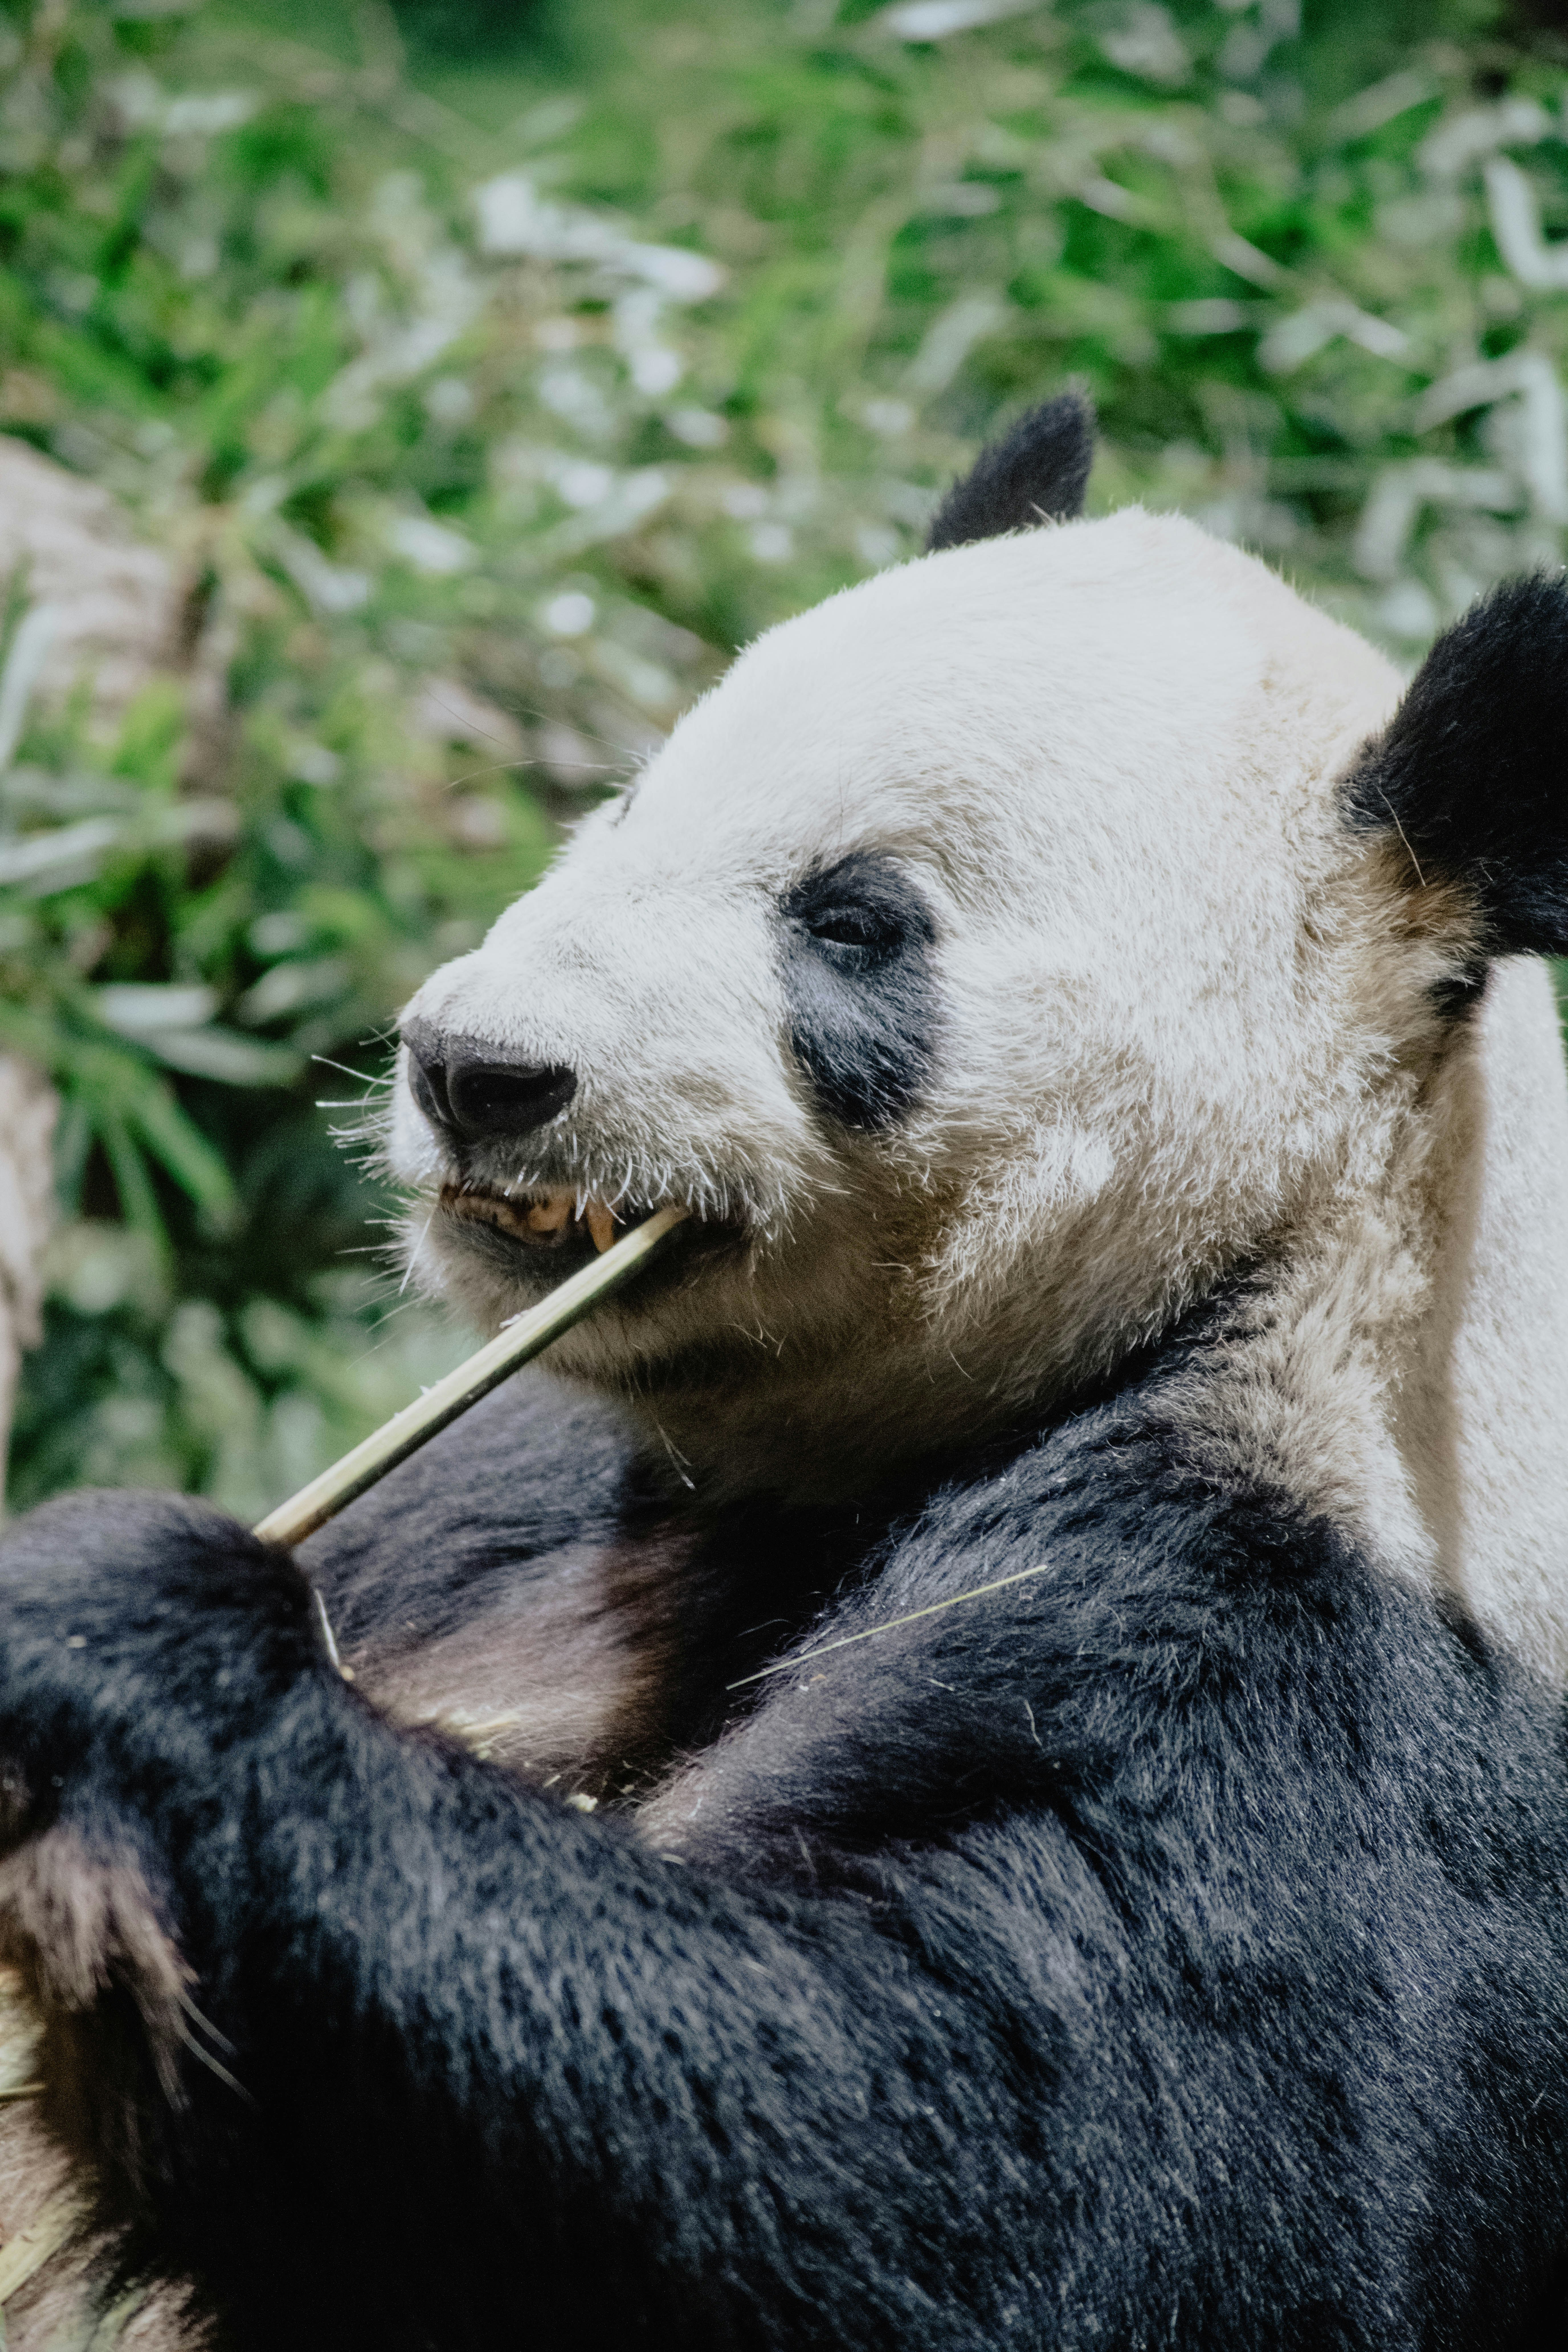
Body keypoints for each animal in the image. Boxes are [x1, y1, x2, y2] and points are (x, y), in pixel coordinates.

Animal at [5, 391, 1568, 2350]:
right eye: (628, 802)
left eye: (853, 922)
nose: (476, 1067)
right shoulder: (541, 1481)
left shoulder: (1308, 1647)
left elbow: (990, 2156)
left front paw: (125, 1633)